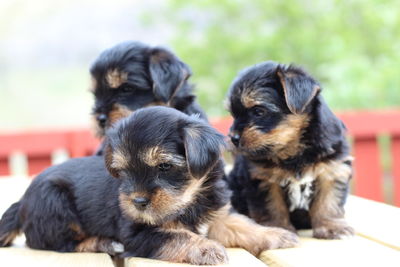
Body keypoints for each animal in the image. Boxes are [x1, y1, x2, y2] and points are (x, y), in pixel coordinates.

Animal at [0, 107, 296, 266]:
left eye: (164, 167)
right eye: (122, 171)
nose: (138, 202)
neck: (189, 201)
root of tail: (22, 201)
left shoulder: (217, 215)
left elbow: (242, 225)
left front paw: (276, 234)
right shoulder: (139, 232)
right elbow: (176, 235)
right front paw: (205, 248)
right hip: (54, 203)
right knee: (59, 243)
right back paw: (104, 243)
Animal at [225, 62, 354, 241]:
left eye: (259, 111)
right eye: (233, 114)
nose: (233, 138)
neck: (294, 151)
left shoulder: (332, 170)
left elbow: (328, 202)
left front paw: (331, 227)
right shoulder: (263, 178)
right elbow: (273, 205)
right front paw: (279, 228)